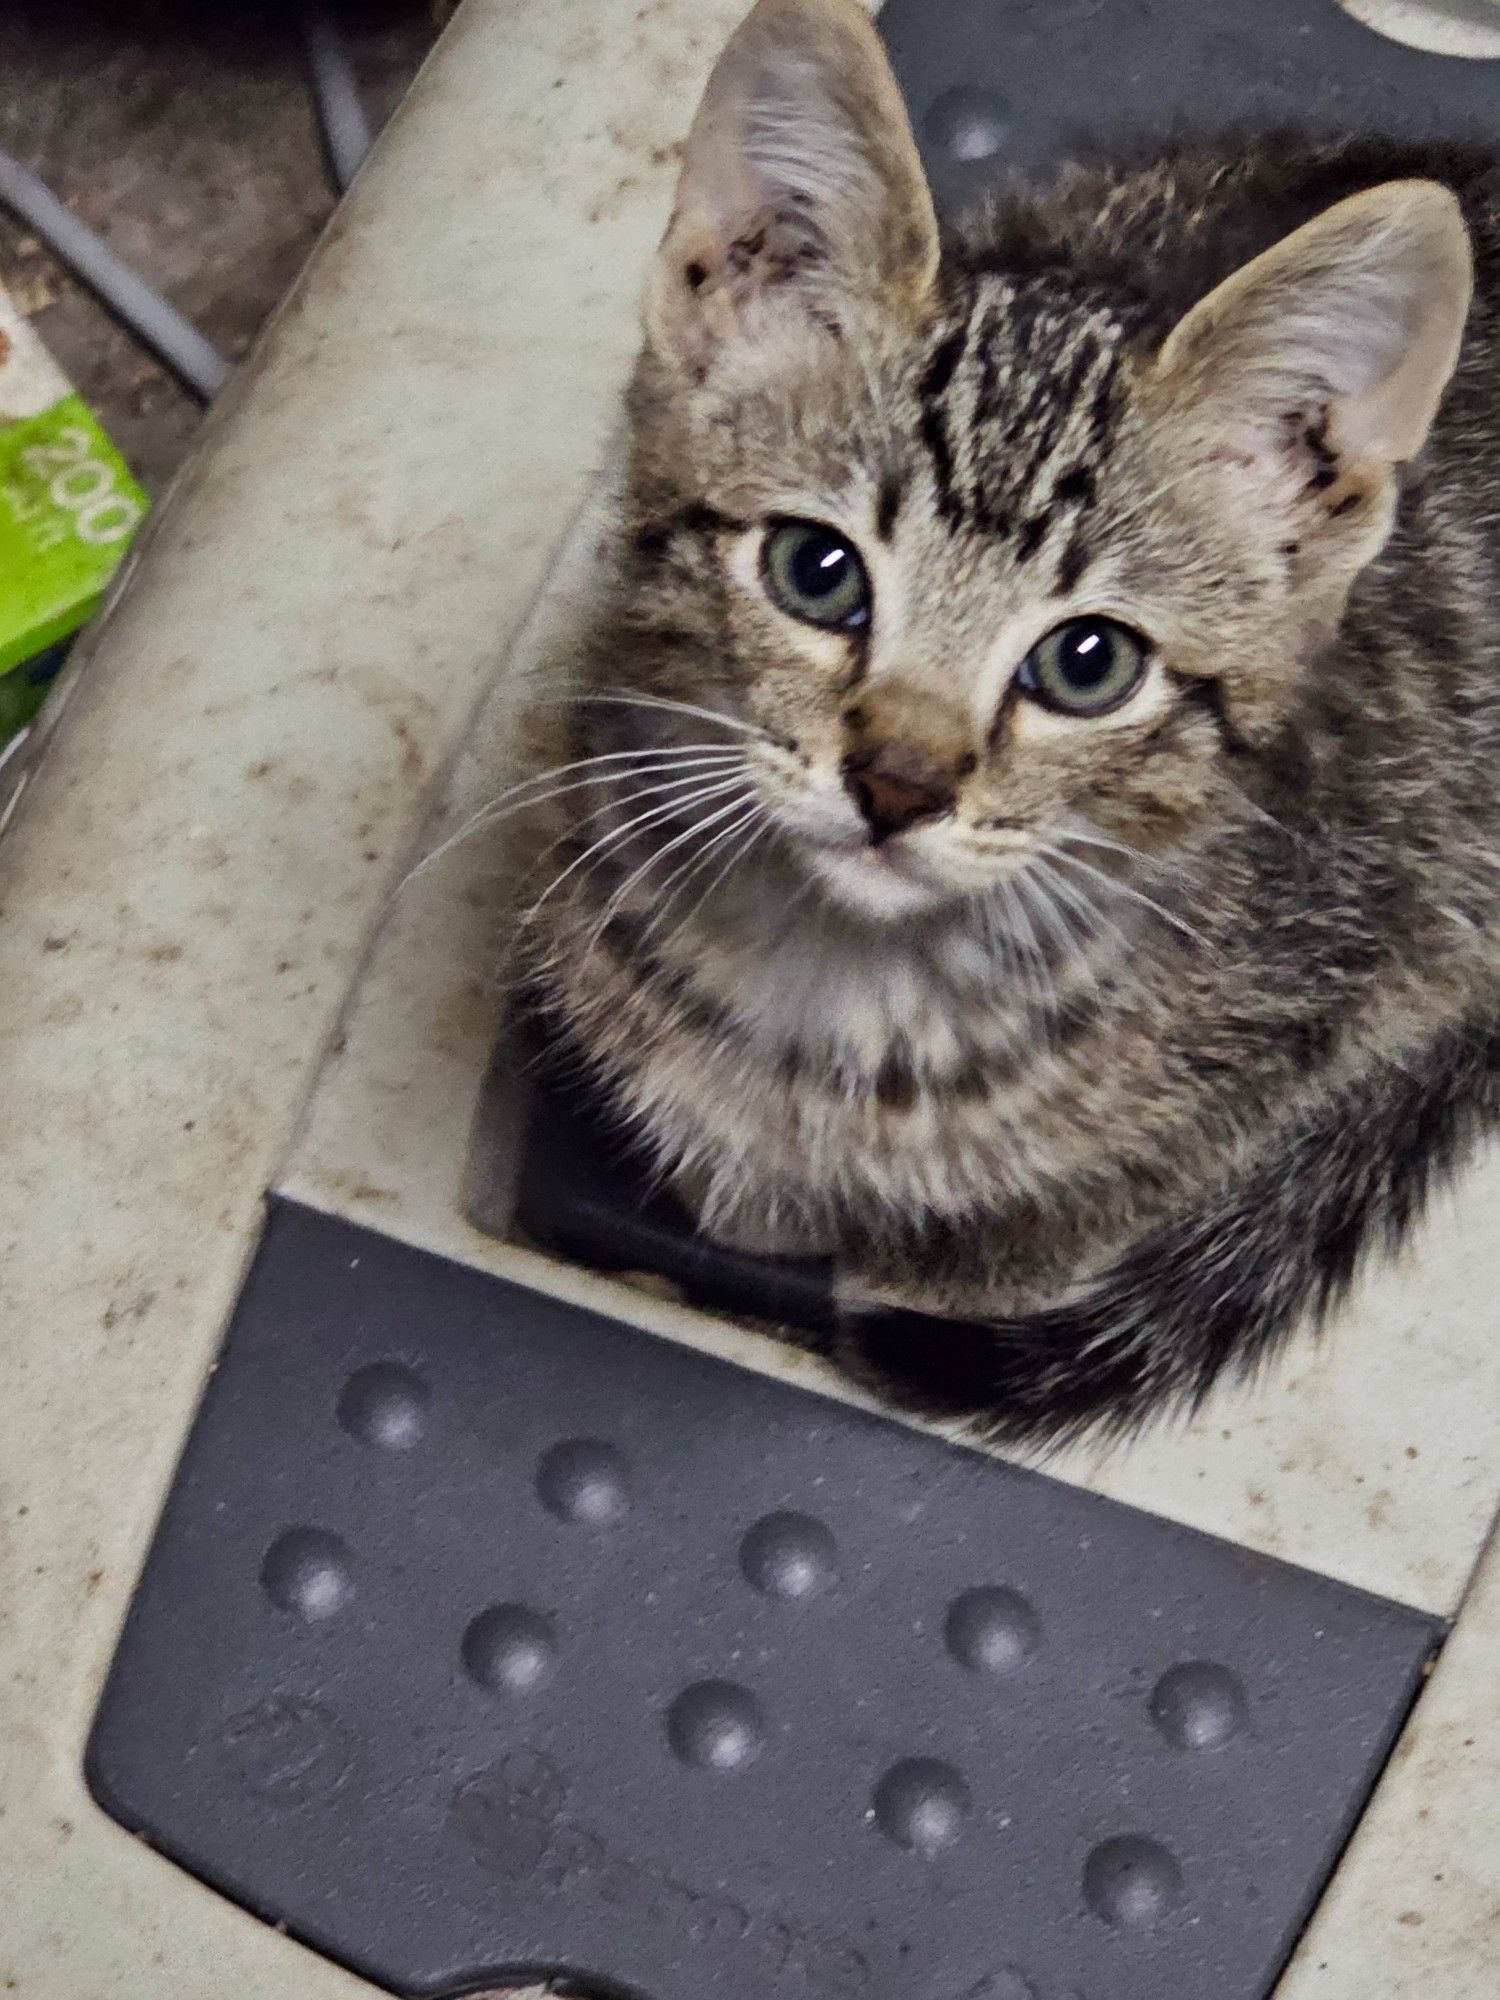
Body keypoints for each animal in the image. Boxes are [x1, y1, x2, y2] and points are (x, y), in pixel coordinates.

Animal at [512, 0, 1496, 1448]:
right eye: (816, 571)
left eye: (1088, 664)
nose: (900, 781)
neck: (845, 989)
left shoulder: (1366, 955)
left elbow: (1082, 1194)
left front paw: (929, 1256)